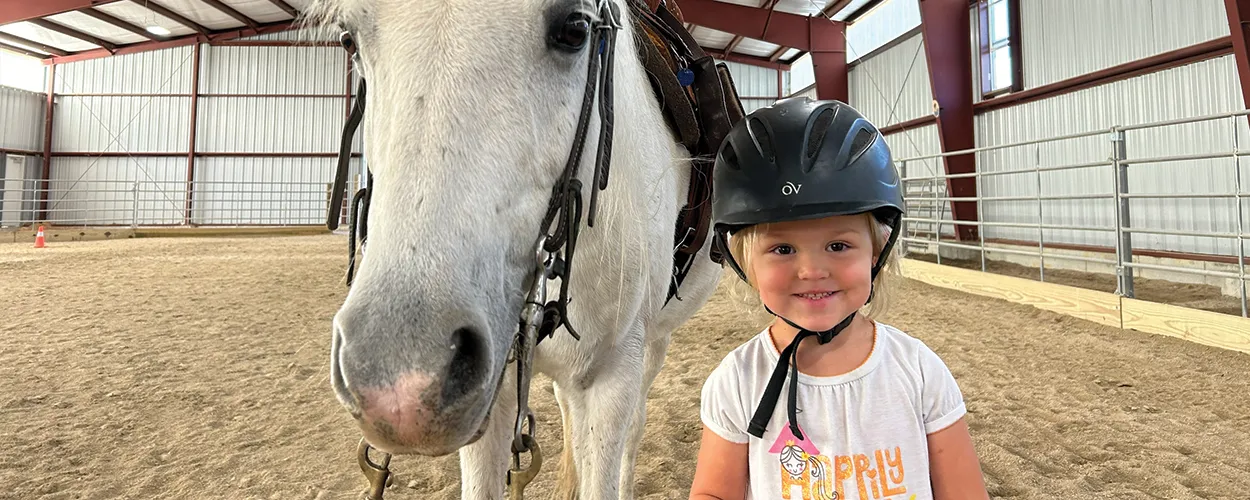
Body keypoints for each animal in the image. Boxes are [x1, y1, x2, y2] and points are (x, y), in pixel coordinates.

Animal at [304, 0, 742, 497]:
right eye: (349, 40)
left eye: (575, 29)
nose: (403, 384)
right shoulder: (493, 393)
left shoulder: (615, 375)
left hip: (652, 342)